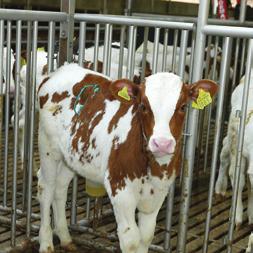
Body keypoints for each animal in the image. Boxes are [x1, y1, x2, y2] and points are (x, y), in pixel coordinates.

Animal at [37, 62, 217, 253]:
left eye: (183, 107)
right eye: (143, 106)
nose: (162, 143)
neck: (153, 168)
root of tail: (60, 71)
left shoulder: (158, 193)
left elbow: (146, 237)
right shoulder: (120, 190)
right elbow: (131, 241)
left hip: (70, 156)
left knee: (60, 188)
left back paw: (65, 238)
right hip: (48, 146)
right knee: (46, 188)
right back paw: (46, 242)